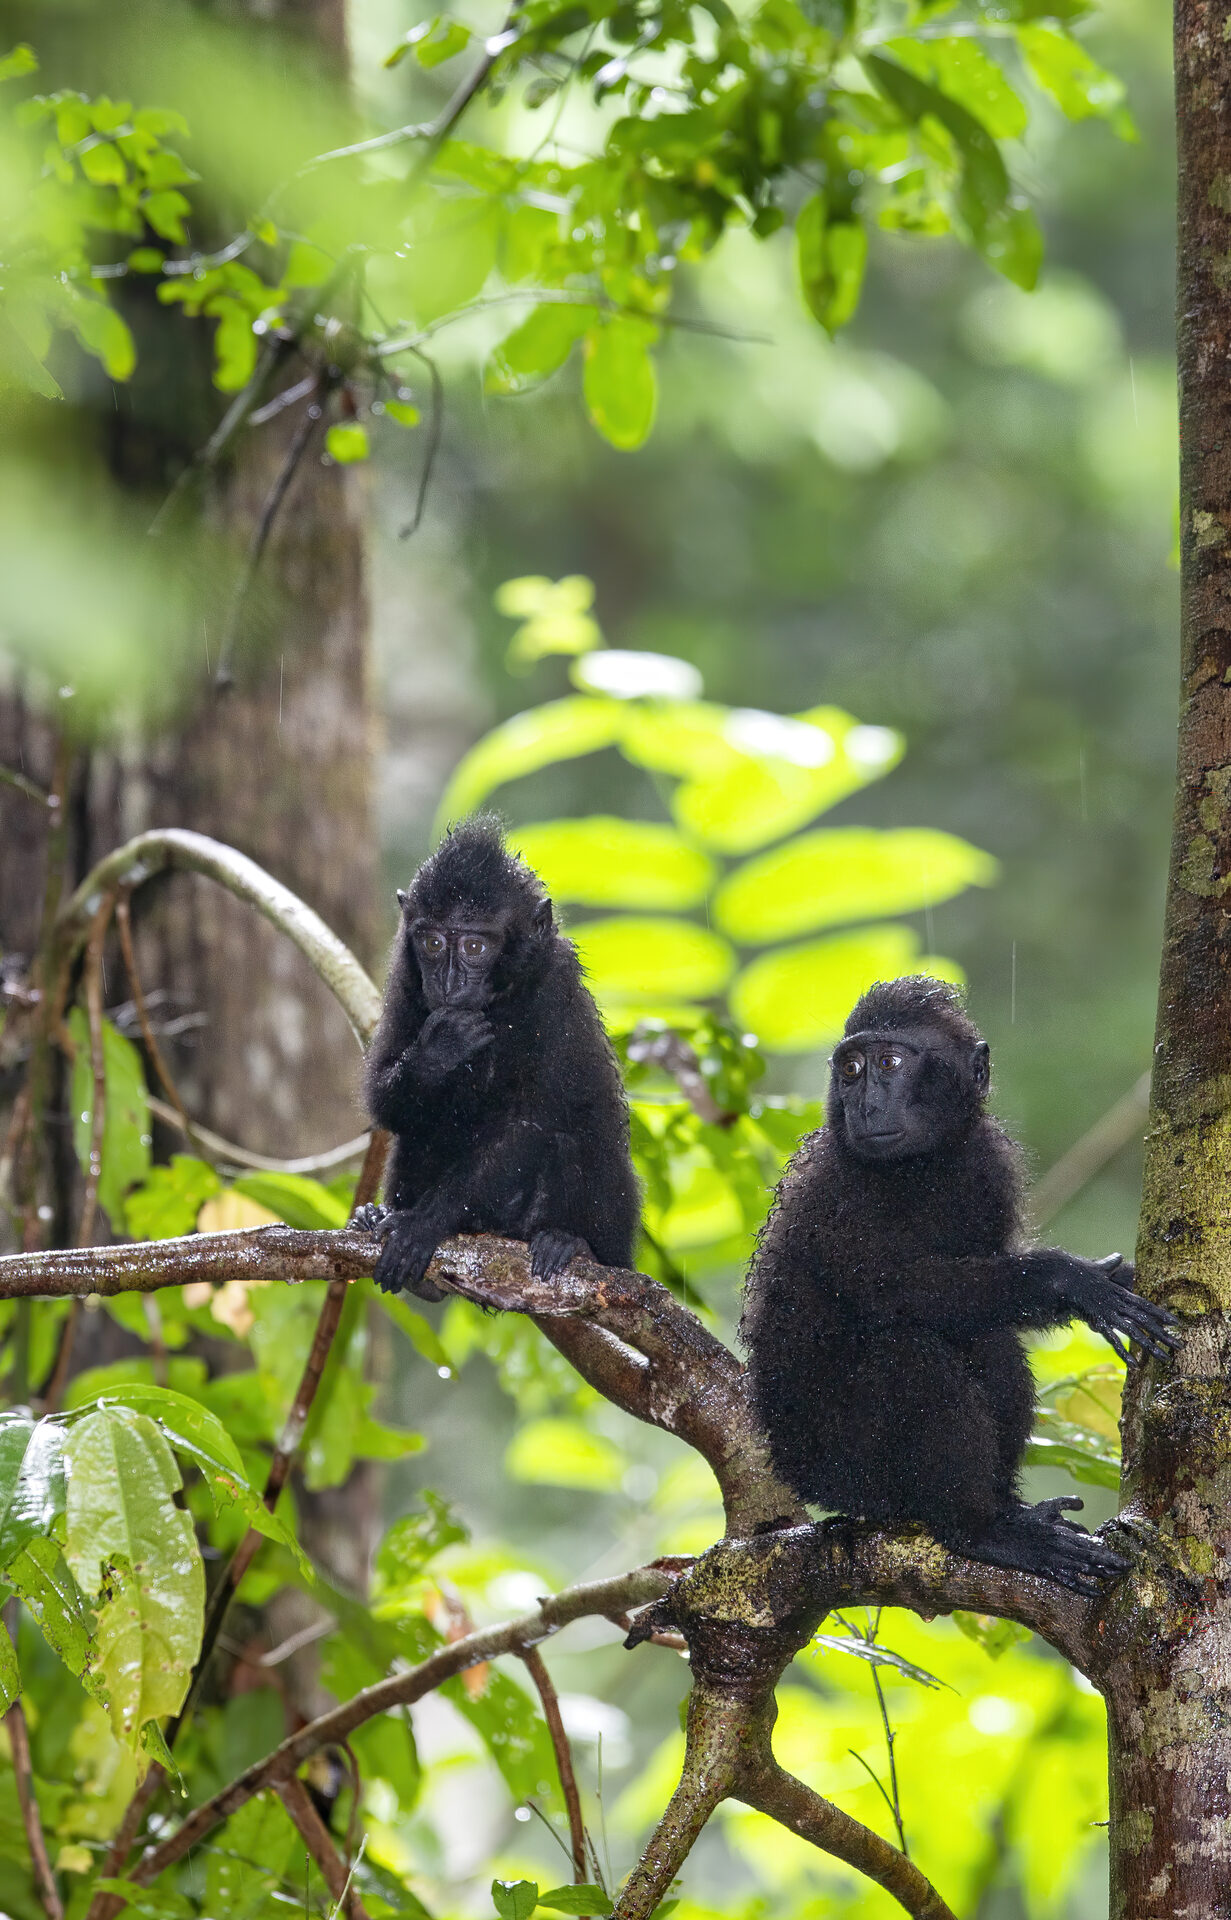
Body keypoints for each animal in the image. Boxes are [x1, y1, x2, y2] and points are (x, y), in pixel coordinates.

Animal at [359, 817, 640, 1300]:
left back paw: (570, 1242)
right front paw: (439, 1048)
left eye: (474, 948)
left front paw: (423, 1223)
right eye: (432, 943)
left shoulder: (554, 986)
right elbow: (383, 1100)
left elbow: (527, 1124)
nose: (448, 982)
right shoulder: (405, 976)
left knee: (569, 1135)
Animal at [740, 976, 1181, 1594]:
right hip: (841, 1468)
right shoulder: (835, 1197)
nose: (863, 1105)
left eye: (889, 1062)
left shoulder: (987, 1164)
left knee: (987, 1339)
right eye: (850, 1069)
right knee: (910, 1351)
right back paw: (980, 1529)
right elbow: (895, 1293)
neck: (923, 1166)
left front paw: (1111, 1275)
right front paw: (1072, 1281)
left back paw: (1005, 1507)